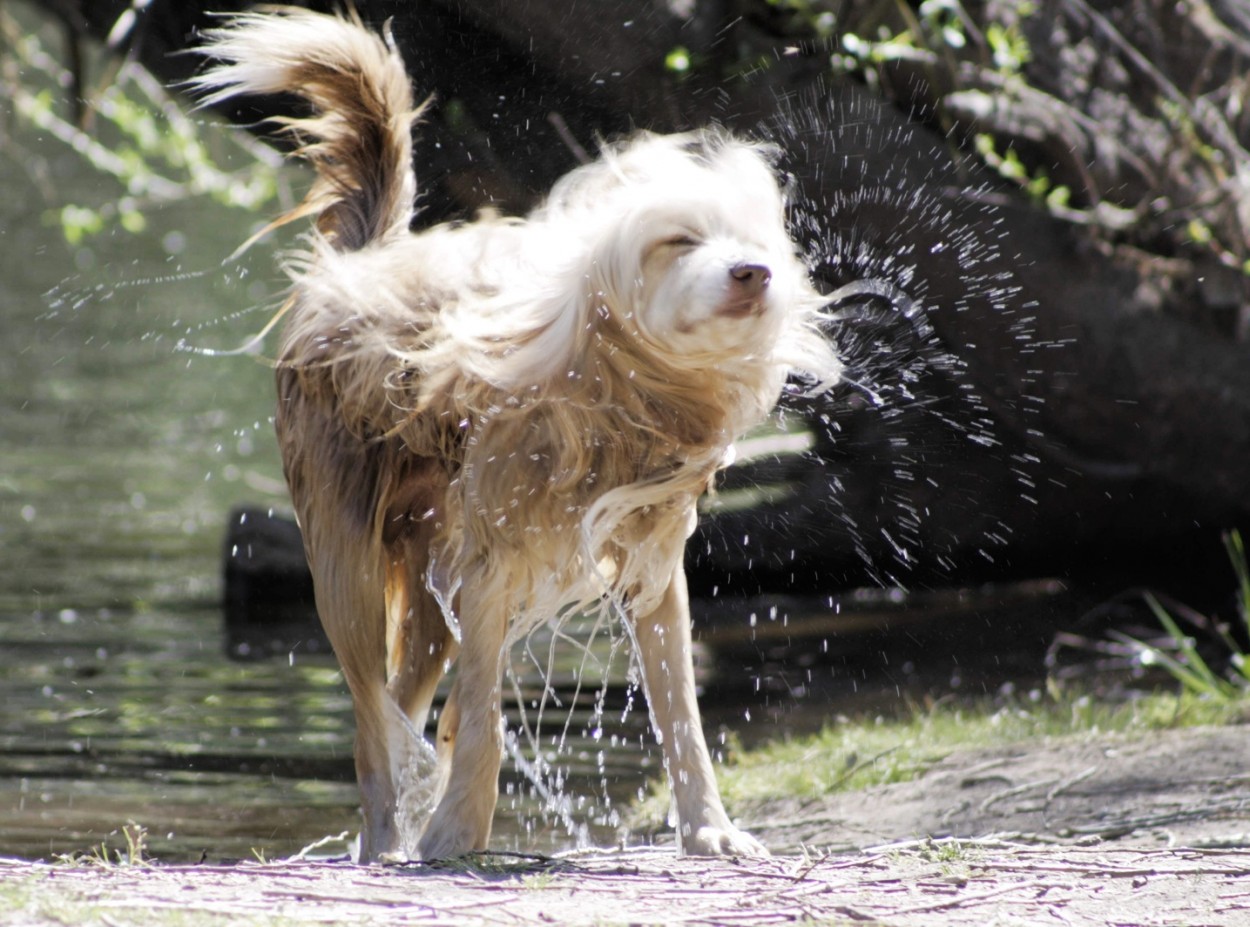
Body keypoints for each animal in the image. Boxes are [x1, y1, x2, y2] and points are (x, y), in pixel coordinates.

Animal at [195, 5, 840, 864]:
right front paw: (459, 828)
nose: (753, 274)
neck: (617, 384)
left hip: (425, 585)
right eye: (677, 241)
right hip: (347, 569)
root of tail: (359, 263)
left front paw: (710, 828)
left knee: (400, 706)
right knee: (372, 718)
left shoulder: (652, 563)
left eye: (757, 243)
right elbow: (482, 716)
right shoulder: (493, 564)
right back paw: (388, 839)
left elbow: (680, 711)